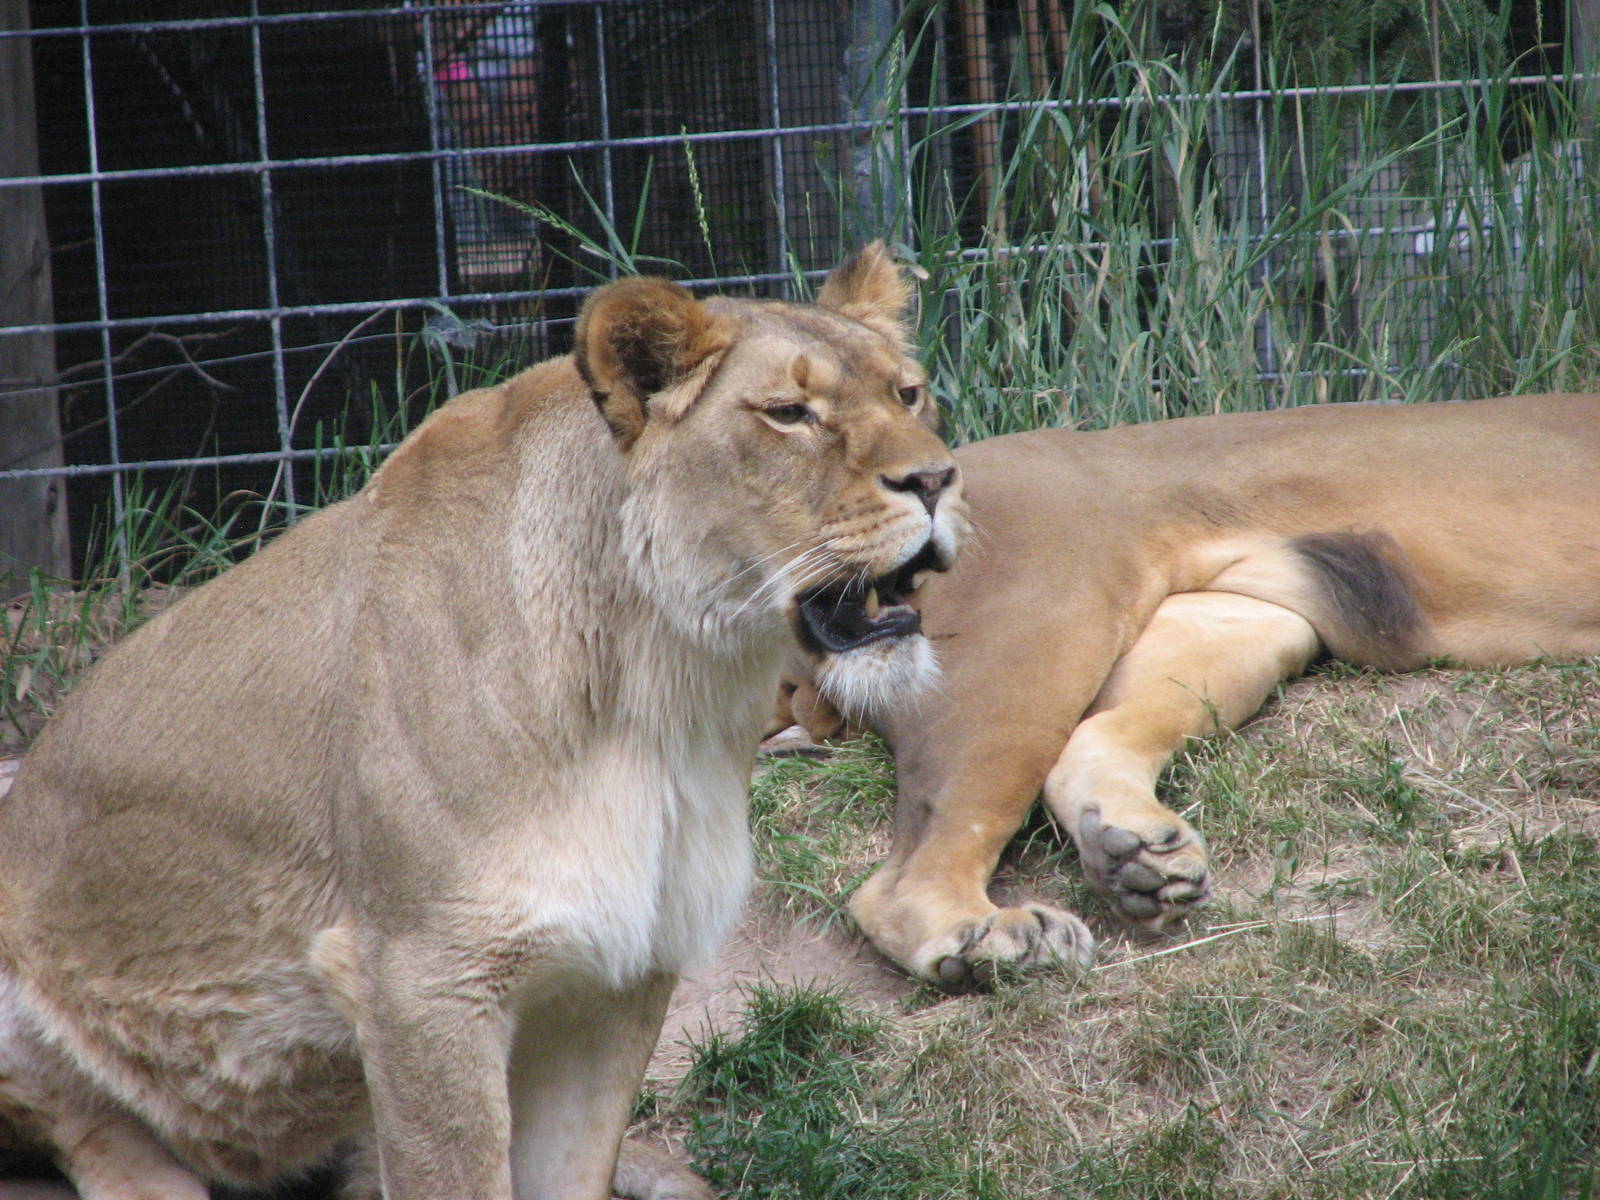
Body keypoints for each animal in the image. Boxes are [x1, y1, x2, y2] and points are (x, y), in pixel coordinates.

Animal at [0, 243, 965, 1200]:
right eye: (790, 414)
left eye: (908, 394)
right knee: (90, 1125)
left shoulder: (623, 968)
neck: (664, 690)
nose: (937, 478)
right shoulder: (421, 979)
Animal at [776, 393, 1600, 988]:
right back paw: (995, 940)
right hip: (1036, 632)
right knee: (905, 873)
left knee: (1093, 740)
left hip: (1242, 619)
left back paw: (1139, 857)